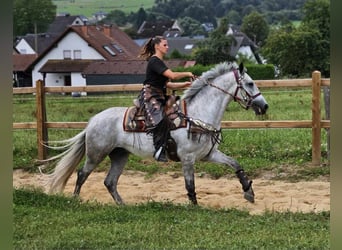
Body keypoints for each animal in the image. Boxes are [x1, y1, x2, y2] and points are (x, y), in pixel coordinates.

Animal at [43, 62, 268, 205]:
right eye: (250, 83)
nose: (264, 106)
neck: (198, 114)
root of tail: (92, 121)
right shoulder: (188, 158)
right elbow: (190, 185)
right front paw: (195, 207)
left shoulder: (208, 154)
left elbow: (235, 164)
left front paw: (249, 192)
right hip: (96, 153)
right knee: (82, 174)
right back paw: (75, 200)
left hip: (120, 155)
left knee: (109, 181)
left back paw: (122, 205)